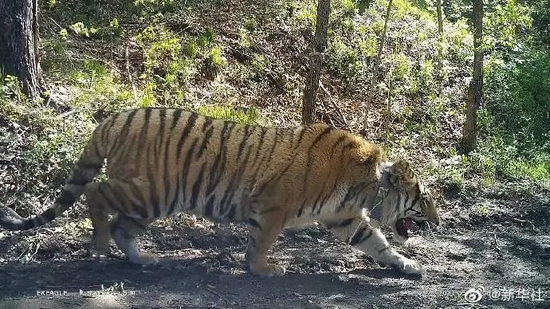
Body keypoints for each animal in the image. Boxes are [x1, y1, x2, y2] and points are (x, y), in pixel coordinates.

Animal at [0, 107, 440, 276]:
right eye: (424, 199)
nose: (438, 222)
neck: (366, 187)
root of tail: (114, 118)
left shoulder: (345, 218)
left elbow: (378, 243)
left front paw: (408, 265)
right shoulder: (275, 208)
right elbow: (262, 242)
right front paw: (263, 269)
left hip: (152, 201)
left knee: (123, 222)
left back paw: (142, 259)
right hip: (148, 191)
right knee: (96, 192)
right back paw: (100, 245)